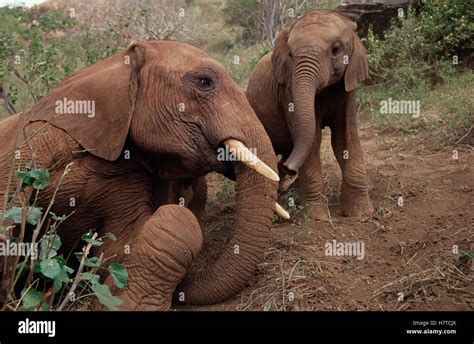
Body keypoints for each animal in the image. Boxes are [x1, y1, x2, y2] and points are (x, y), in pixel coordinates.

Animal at [244, 10, 374, 222]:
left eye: (336, 49)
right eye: (290, 54)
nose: (289, 168)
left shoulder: (348, 86)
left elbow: (345, 139)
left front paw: (360, 213)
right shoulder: (287, 90)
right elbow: (312, 140)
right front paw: (317, 217)